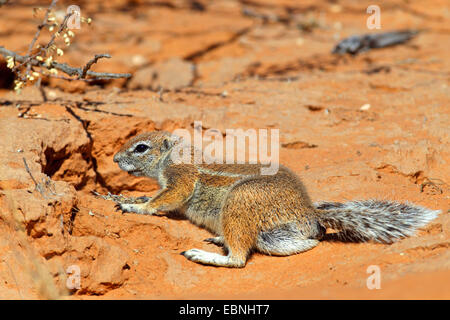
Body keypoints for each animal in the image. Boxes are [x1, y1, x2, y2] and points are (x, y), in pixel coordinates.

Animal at [112, 130, 440, 268]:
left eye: (140, 147)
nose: (114, 159)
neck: (173, 155)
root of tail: (309, 213)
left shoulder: (180, 178)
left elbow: (165, 199)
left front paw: (134, 205)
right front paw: (133, 197)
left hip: (240, 199)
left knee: (238, 260)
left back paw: (205, 255)